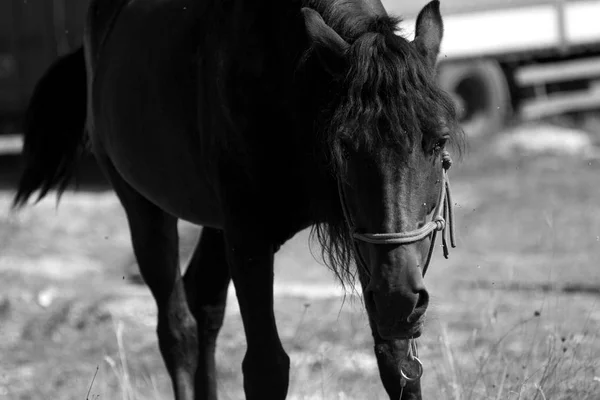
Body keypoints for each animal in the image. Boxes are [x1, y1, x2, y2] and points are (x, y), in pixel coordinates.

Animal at [12, 0, 464, 398]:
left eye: (439, 141)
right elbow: (266, 369)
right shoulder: (249, 240)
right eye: (345, 146)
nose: (400, 296)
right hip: (143, 207)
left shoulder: (364, 245)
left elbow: (398, 364)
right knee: (177, 331)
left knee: (203, 304)